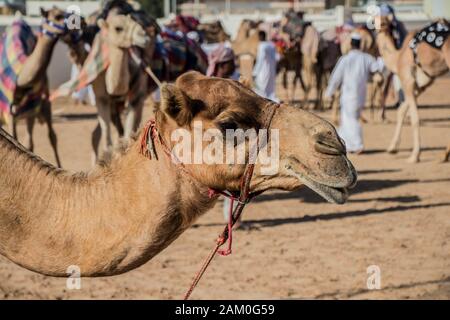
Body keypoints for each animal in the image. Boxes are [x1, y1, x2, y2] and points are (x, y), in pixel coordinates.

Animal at [376, 17, 450, 162]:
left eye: (382, 21)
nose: (376, 25)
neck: (397, 58)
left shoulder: (408, 81)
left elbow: (415, 119)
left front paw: (414, 156)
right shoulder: (421, 86)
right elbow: (401, 111)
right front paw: (392, 148)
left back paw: (444, 155)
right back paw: (444, 155)